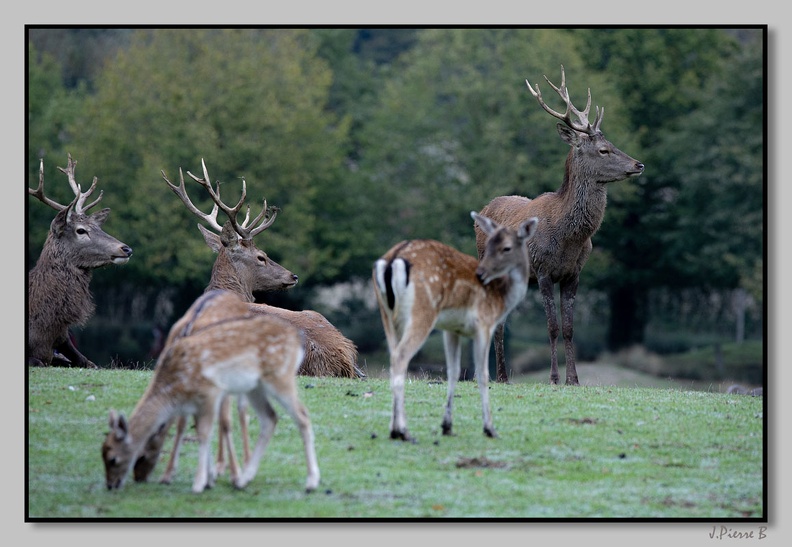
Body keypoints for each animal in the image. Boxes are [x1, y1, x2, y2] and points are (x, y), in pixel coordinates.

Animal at [27, 154, 132, 368]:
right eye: (81, 230)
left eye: (99, 227)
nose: (126, 249)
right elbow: (38, 362)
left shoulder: (63, 338)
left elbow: (91, 363)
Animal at [101, 288, 318, 494]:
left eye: (142, 456)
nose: (139, 478)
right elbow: (186, 424)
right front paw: (172, 474)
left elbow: (223, 423)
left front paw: (229, 474)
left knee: (244, 413)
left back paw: (244, 465)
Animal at [372, 212, 536, 444]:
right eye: (489, 243)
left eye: (506, 247)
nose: (481, 273)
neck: (501, 298)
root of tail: (393, 259)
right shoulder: (484, 324)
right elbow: (482, 374)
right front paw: (490, 428)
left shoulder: (452, 329)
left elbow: (453, 371)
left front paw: (447, 426)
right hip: (422, 312)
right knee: (401, 357)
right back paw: (403, 431)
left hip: (386, 314)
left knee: (394, 356)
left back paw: (394, 429)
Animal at [476, 66, 644, 388]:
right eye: (603, 150)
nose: (639, 164)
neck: (570, 237)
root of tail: (483, 208)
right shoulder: (542, 270)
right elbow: (552, 327)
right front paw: (554, 378)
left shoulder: (574, 274)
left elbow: (569, 328)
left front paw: (574, 379)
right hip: (489, 267)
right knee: (493, 321)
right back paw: (498, 376)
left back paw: (503, 376)